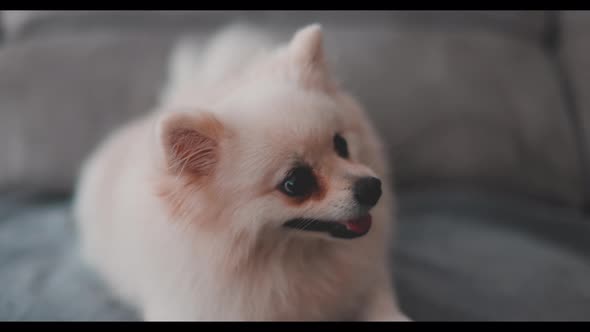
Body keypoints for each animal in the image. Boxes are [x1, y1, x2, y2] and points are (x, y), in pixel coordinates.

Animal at [73, 23, 412, 322]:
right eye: (295, 183)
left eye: (341, 144)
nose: (371, 187)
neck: (293, 262)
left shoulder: (367, 276)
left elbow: (379, 301)